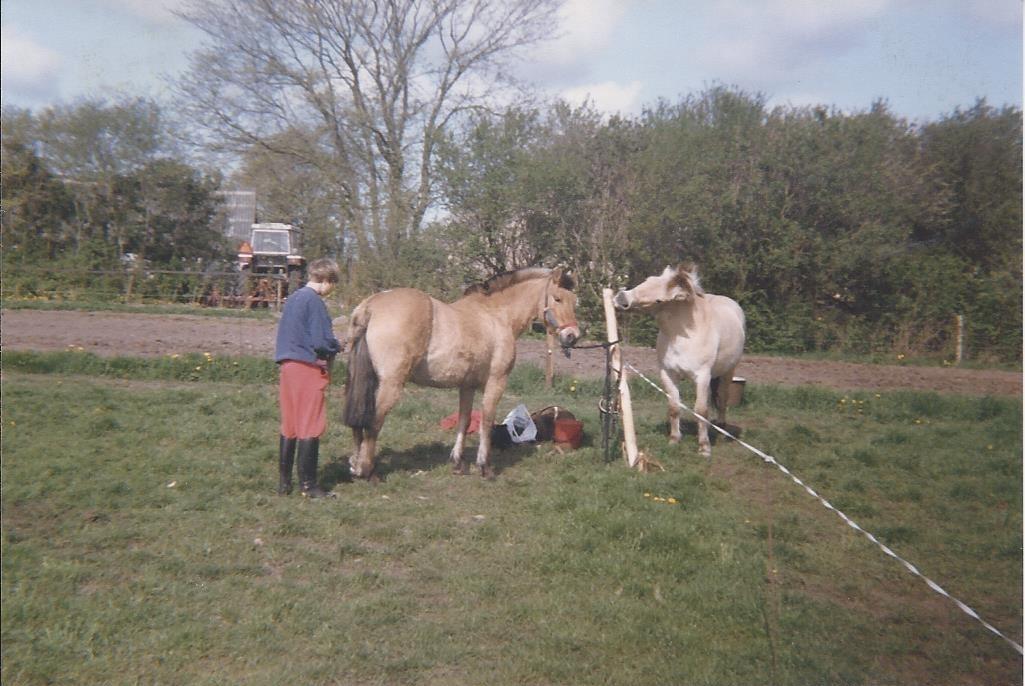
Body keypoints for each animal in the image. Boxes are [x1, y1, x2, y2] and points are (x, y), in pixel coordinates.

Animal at [344, 264, 582, 479]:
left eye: (574, 301)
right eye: (557, 298)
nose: (572, 336)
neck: (496, 315)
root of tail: (371, 306)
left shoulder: (467, 386)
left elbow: (464, 420)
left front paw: (459, 463)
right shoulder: (496, 381)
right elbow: (486, 421)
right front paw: (485, 467)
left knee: (358, 421)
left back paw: (355, 465)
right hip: (390, 385)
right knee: (373, 423)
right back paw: (367, 471)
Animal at [610, 264, 750, 457]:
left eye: (659, 300)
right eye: (646, 281)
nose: (621, 298)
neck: (684, 336)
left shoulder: (702, 376)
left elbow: (701, 410)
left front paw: (704, 447)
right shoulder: (668, 374)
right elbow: (674, 407)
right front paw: (674, 440)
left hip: (729, 371)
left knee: (722, 398)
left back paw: (721, 428)